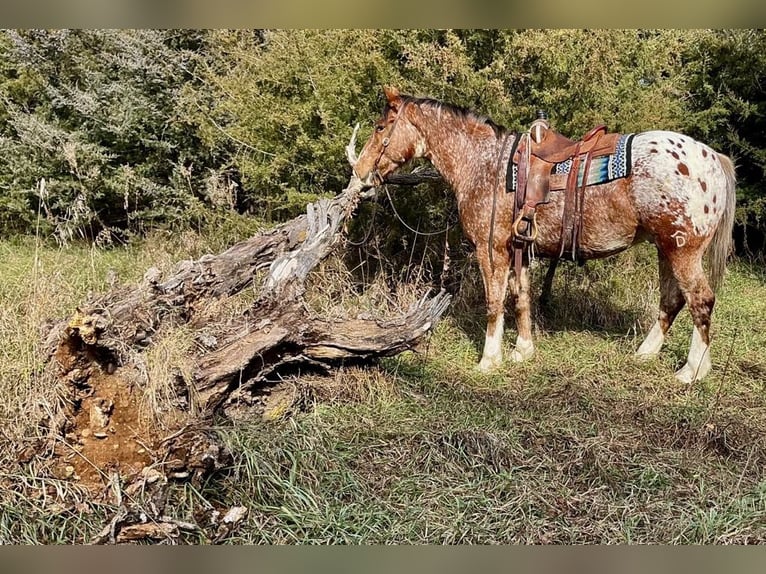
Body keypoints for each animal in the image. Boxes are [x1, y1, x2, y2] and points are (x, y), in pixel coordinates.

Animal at [354, 85, 736, 384]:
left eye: (380, 126)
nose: (359, 171)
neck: (484, 163)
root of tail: (712, 157)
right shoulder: (519, 247)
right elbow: (521, 297)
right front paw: (522, 351)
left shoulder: (491, 249)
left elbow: (494, 303)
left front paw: (489, 359)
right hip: (666, 249)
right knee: (671, 301)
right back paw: (645, 353)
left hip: (683, 251)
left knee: (701, 300)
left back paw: (692, 370)